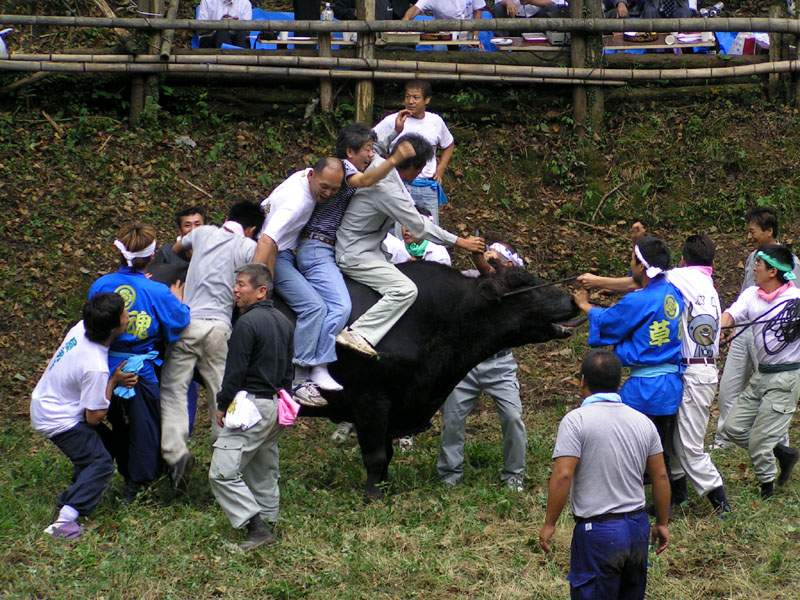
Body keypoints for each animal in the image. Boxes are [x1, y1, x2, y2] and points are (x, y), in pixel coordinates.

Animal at [147, 260, 580, 500]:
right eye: (523, 286)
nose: (573, 300)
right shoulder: (372, 399)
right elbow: (374, 453)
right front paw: (373, 493)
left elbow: (385, 453)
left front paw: (384, 486)